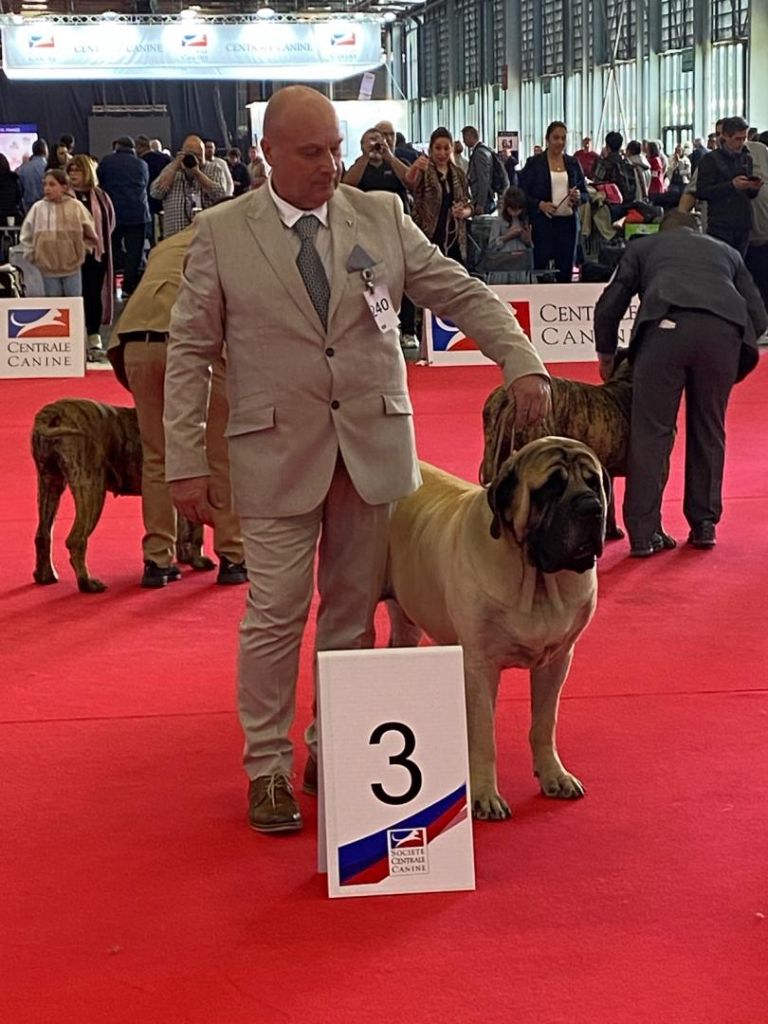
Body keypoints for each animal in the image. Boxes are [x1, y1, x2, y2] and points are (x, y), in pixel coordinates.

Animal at [32, 397, 211, 593]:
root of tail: (52, 413)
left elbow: (184, 530)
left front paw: (186, 558)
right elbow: (197, 533)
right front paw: (200, 561)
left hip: (50, 484)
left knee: (43, 534)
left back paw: (45, 576)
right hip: (91, 487)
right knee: (76, 539)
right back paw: (87, 583)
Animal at [387, 436, 610, 819]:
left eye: (593, 482)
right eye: (550, 489)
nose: (590, 507)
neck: (536, 580)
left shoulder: (557, 661)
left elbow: (544, 724)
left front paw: (554, 775)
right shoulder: (480, 666)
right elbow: (484, 737)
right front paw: (484, 796)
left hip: (408, 620)